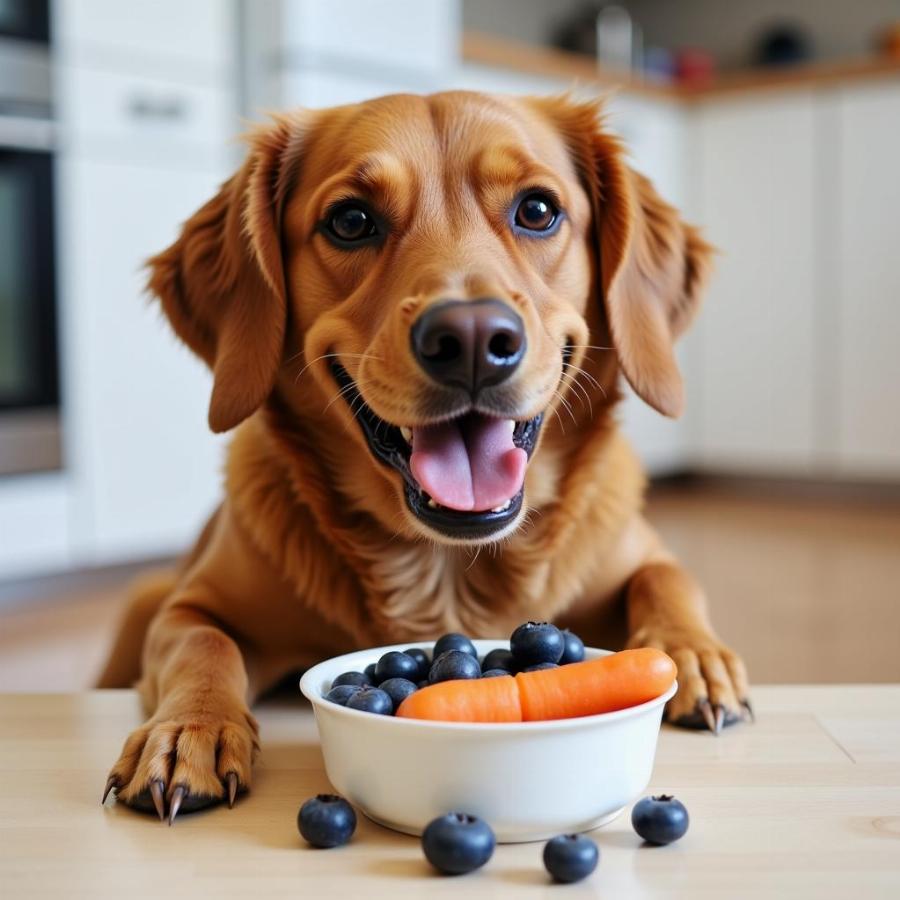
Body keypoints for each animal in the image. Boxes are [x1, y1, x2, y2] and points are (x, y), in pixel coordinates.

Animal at [98, 91, 748, 824]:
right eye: (351, 220)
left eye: (538, 210)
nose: (471, 339)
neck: (447, 569)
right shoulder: (190, 606)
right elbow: (202, 643)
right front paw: (190, 730)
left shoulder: (640, 556)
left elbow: (668, 580)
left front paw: (695, 657)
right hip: (141, 598)